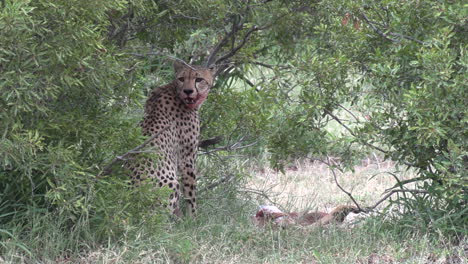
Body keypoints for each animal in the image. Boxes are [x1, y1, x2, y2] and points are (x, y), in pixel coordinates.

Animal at [130, 62, 218, 217]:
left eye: (199, 79)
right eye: (182, 78)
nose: (188, 91)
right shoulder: (187, 159)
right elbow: (191, 193)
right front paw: (193, 217)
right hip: (171, 183)